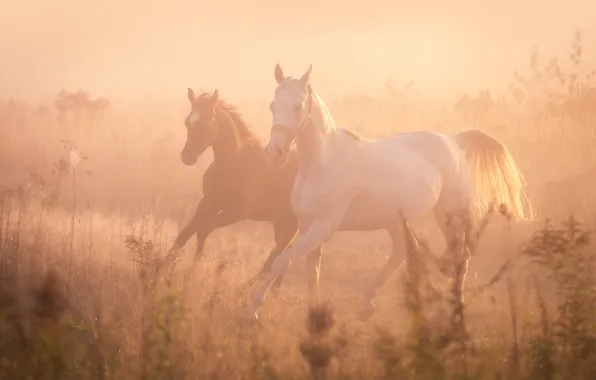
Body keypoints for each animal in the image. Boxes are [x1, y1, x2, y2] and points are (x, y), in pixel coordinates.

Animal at [170, 89, 406, 312]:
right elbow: (186, 233)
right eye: (188, 121)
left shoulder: (237, 211)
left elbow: (203, 229)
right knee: (285, 254)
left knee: (278, 256)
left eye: (207, 121)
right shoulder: (209, 202)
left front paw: (194, 268)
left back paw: (248, 292)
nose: (186, 157)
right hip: (289, 223)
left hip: (294, 224)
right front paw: (168, 266)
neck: (235, 160)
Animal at [244, 63, 532, 320]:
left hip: (448, 213)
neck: (322, 163)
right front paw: (314, 314)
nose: (273, 152)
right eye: (272, 106)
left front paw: (252, 310)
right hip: (394, 220)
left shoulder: (322, 227)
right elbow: (310, 269)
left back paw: (457, 306)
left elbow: (281, 261)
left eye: (297, 106)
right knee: (403, 250)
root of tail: (455, 141)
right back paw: (367, 302)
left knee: (461, 257)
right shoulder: (307, 226)